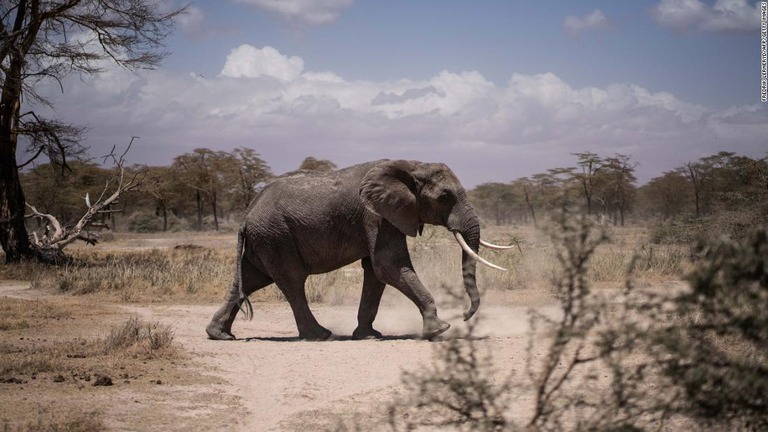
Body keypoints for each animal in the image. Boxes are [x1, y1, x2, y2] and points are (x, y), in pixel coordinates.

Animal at [207, 159, 512, 340]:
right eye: (445, 197)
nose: (465, 316)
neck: (410, 165)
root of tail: (246, 216)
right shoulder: (377, 216)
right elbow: (388, 266)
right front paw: (440, 330)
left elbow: (376, 273)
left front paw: (369, 335)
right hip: (276, 236)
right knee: (292, 281)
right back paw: (320, 335)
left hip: (265, 239)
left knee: (250, 280)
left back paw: (220, 335)